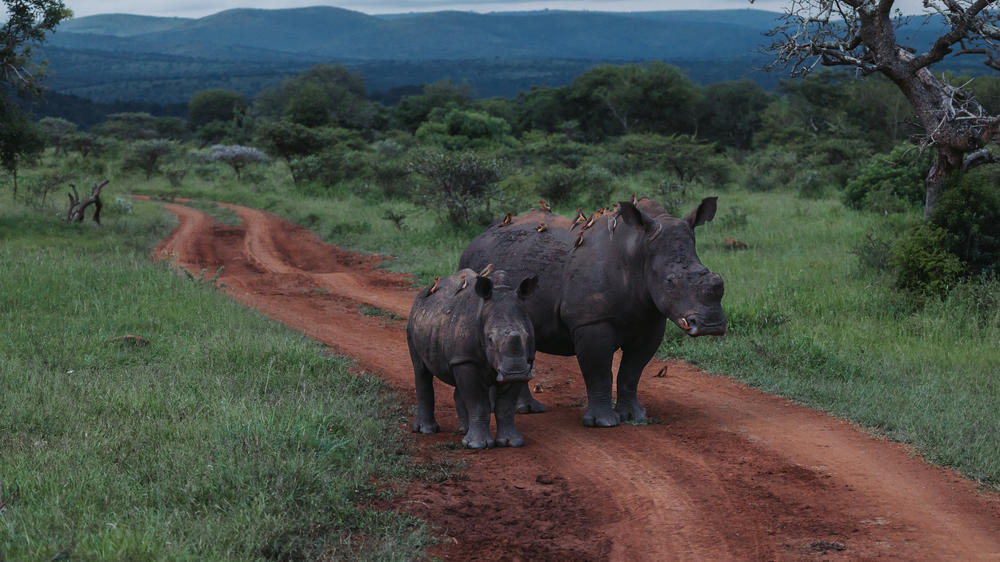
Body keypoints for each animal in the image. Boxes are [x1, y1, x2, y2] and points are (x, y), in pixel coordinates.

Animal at [407, 268, 538, 448]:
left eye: (527, 337)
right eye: (490, 339)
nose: (515, 373)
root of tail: (423, 293)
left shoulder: (524, 361)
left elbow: (506, 406)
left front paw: (511, 442)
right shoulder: (467, 360)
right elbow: (477, 403)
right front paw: (478, 445)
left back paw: (464, 431)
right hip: (413, 322)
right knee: (421, 370)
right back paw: (426, 430)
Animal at [458, 197, 725, 427]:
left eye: (713, 275)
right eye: (670, 282)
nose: (711, 325)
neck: (638, 251)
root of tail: (476, 238)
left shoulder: (651, 321)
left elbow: (632, 372)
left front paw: (634, 416)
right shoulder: (591, 322)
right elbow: (599, 371)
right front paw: (603, 422)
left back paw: (527, 409)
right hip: (476, 270)